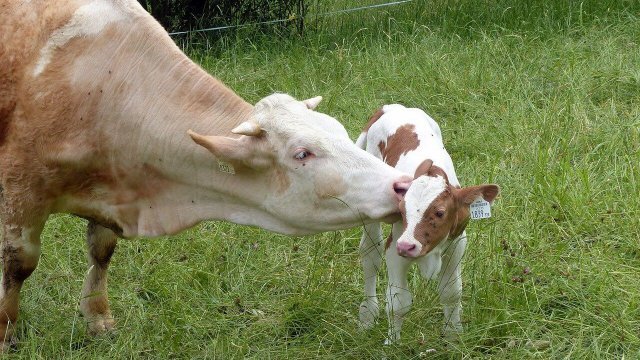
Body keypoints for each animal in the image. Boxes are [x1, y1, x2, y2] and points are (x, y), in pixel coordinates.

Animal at [0, 0, 410, 348]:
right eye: (302, 154)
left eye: (339, 131)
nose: (402, 184)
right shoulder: (20, 188)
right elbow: (19, 263)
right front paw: (6, 331)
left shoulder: (110, 192)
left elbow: (102, 251)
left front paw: (98, 318)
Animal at [356, 103, 500, 344]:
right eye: (402, 210)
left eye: (440, 212)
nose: (407, 246)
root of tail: (391, 107)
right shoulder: (395, 248)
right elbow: (398, 302)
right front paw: (392, 343)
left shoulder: (457, 244)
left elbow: (451, 293)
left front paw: (453, 336)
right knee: (370, 255)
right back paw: (367, 314)